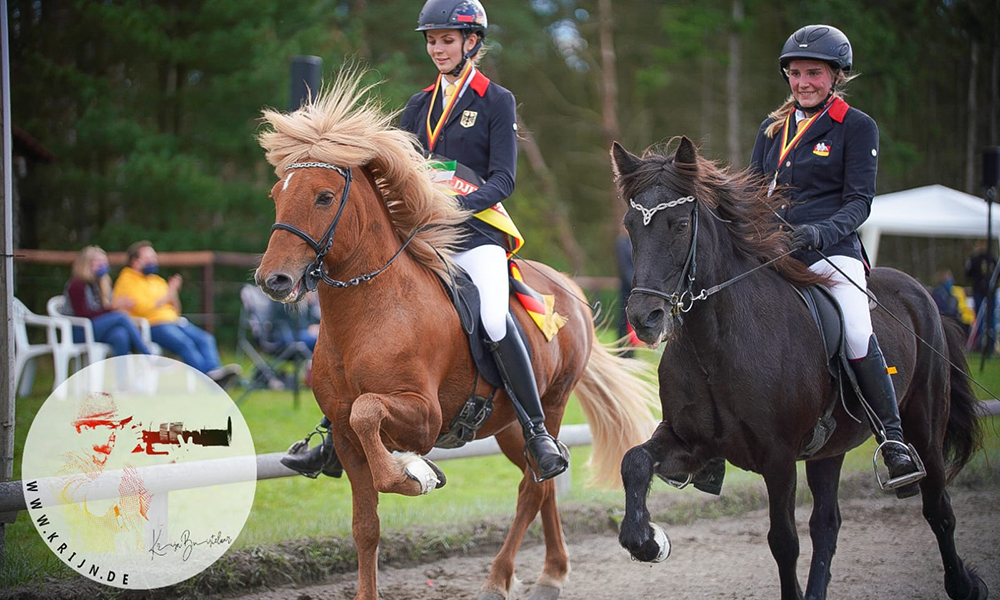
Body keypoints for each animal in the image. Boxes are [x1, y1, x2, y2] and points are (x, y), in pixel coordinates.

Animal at [254, 71, 660, 600]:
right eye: (277, 194)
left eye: (324, 196)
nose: (274, 280)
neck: (368, 316)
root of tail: (568, 289)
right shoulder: (343, 436)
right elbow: (365, 525)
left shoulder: (424, 417)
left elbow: (372, 415)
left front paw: (415, 474)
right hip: (508, 427)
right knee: (544, 482)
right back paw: (552, 572)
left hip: (550, 403)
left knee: (533, 486)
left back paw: (499, 578)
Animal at [608, 138, 984, 600]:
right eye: (631, 225)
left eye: (679, 224)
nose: (644, 318)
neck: (714, 343)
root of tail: (921, 292)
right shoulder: (689, 441)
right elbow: (634, 461)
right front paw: (646, 540)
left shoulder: (779, 455)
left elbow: (783, 541)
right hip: (831, 447)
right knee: (827, 524)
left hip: (925, 427)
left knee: (938, 508)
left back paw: (962, 582)